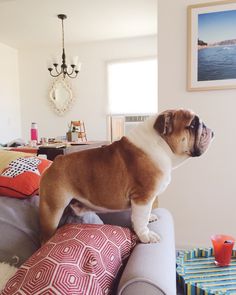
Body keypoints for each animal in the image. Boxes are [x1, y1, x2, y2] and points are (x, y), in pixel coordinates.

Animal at [39, 108, 214, 245]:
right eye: (192, 125)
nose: (210, 130)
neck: (162, 145)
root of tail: (55, 161)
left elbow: (141, 215)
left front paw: (149, 218)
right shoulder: (143, 196)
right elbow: (140, 218)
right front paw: (145, 235)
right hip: (51, 210)